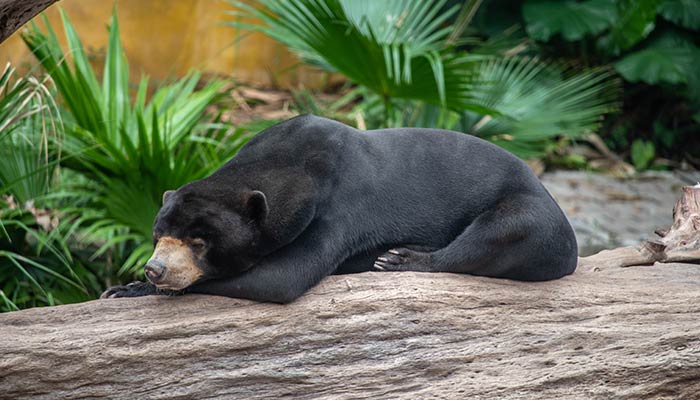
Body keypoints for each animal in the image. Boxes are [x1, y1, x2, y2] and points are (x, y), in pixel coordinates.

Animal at [100, 115, 580, 304]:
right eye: (158, 235)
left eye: (199, 242)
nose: (155, 269)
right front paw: (122, 287)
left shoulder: (337, 207)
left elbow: (281, 277)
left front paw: (128, 291)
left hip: (532, 214)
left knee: (496, 233)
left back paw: (397, 259)